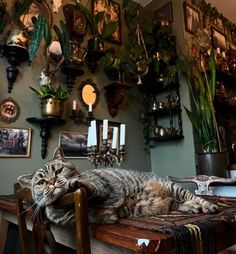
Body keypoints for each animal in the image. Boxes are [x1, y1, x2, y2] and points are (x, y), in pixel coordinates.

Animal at [17, 147, 218, 226]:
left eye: (58, 170)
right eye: (41, 182)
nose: (52, 182)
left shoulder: (103, 186)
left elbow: (89, 188)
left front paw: (72, 183)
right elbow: (92, 215)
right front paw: (106, 216)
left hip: (173, 187)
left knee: (194, 197)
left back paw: (208, 206)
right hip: (170, 199)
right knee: (177, 203)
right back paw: (191, 207)